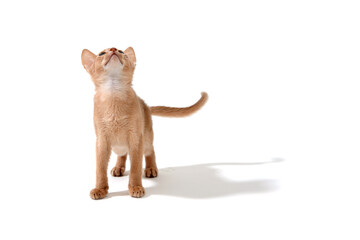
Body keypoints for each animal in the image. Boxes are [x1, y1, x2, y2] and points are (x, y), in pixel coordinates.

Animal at [80, 47, 207, 199]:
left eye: (121, 51)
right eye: (101, 54)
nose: (113, 49)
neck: (114, 93)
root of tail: (145, 105)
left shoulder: (135, 139)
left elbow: (135, 167)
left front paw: (135, 187)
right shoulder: (101, 141)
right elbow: (99, 169)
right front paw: (100, 189)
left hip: (145, 138)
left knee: (150, 150)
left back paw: (151, 169)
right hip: (119, 146)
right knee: (122, 153)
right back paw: (118, 168)